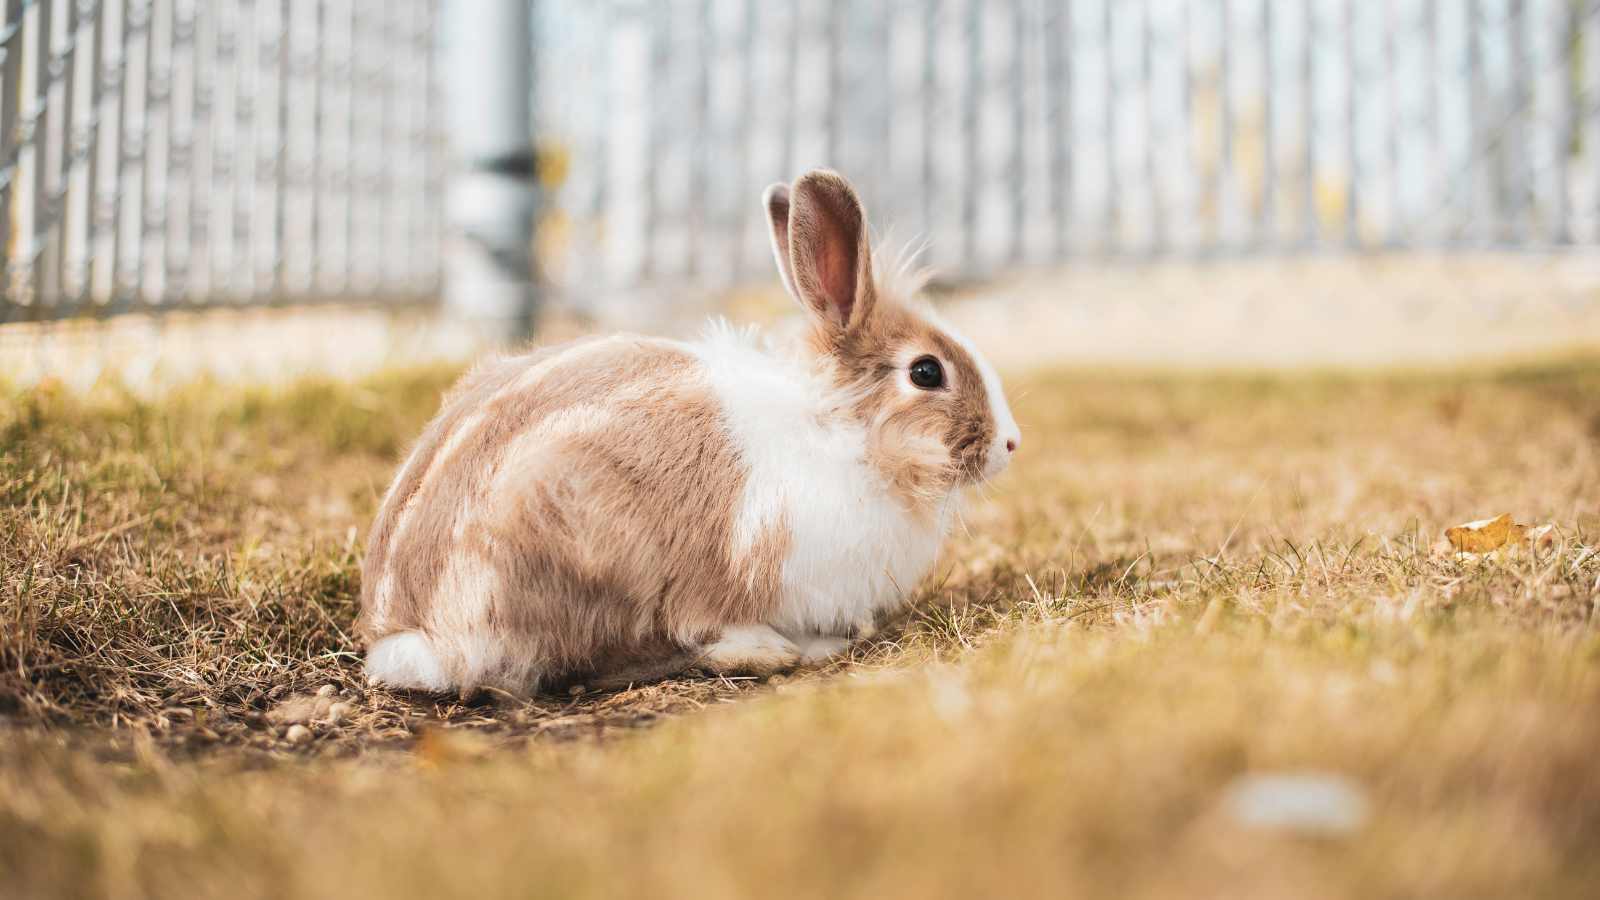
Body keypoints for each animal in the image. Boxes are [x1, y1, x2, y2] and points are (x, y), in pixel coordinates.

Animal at [358, 169, 1020, 695]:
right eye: (926, 372)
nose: (1010, 443)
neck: (840, 429)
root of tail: (415, 634)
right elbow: (707, 617)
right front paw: (797, 644)